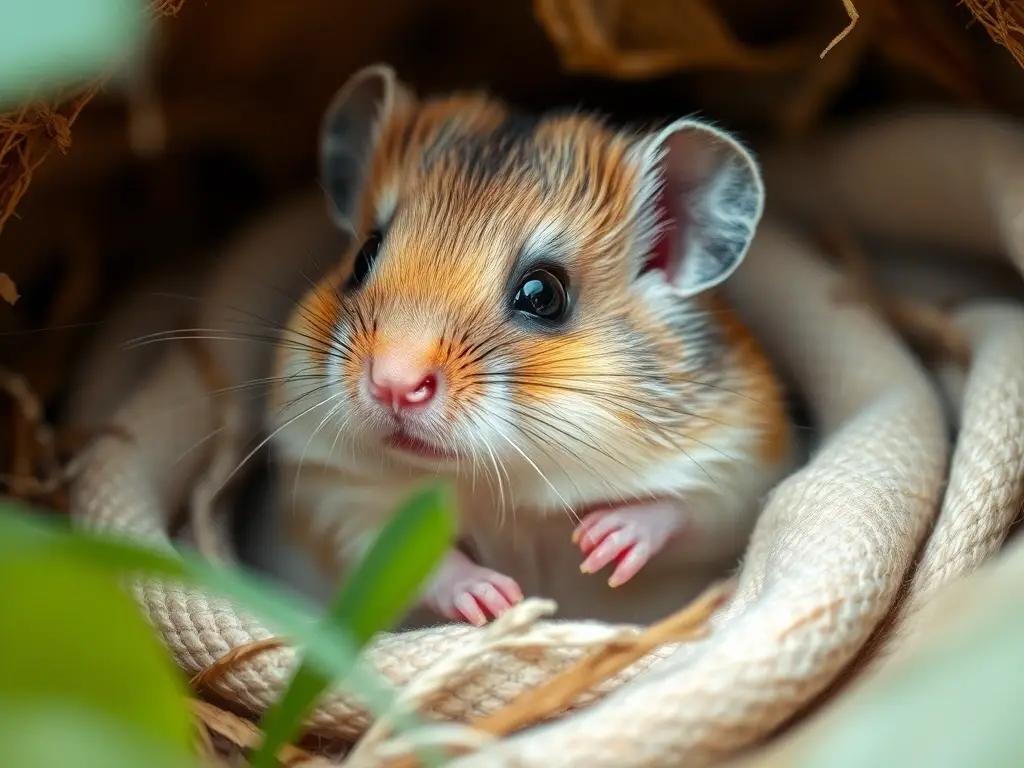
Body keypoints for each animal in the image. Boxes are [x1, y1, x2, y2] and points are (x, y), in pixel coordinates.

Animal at [263, 64, 795, 627]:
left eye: (544, 295)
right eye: (363, 257)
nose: (393, 384)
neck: (501, 485)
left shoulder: (746, 461)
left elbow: (687, 509)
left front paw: (601, 542)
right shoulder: (329, 490)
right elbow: (401, 556)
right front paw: (495, 600)